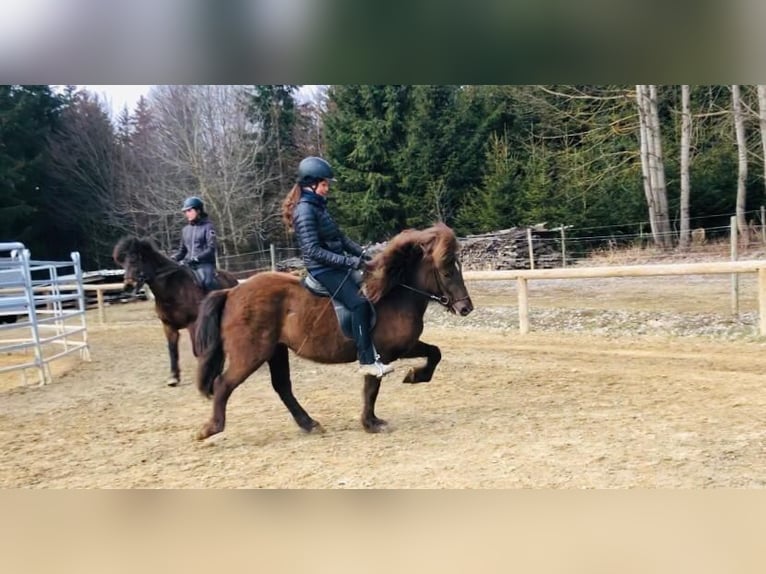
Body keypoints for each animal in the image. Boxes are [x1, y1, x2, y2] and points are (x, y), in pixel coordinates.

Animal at [112, 236, 240, 390]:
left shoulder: (193, 324)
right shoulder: (168, 326)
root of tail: (233, 278)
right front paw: (173, 377)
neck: (173, 289)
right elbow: (172, 351)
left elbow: (196, 350)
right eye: (123, 263)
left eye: (134, 260)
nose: (128, 287)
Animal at [194, 224, 474, 440]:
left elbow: (435, 353)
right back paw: (210, 429)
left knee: (282, 386)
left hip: (276, 351)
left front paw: (414, 376)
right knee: (223, 384)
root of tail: (231, 292)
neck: (394, 293)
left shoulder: (405, 346)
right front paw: (371, 423)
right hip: (251, 354)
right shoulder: (381, 353)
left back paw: (309, 424)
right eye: (447, 271)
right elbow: (372, 387)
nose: (466, 308)